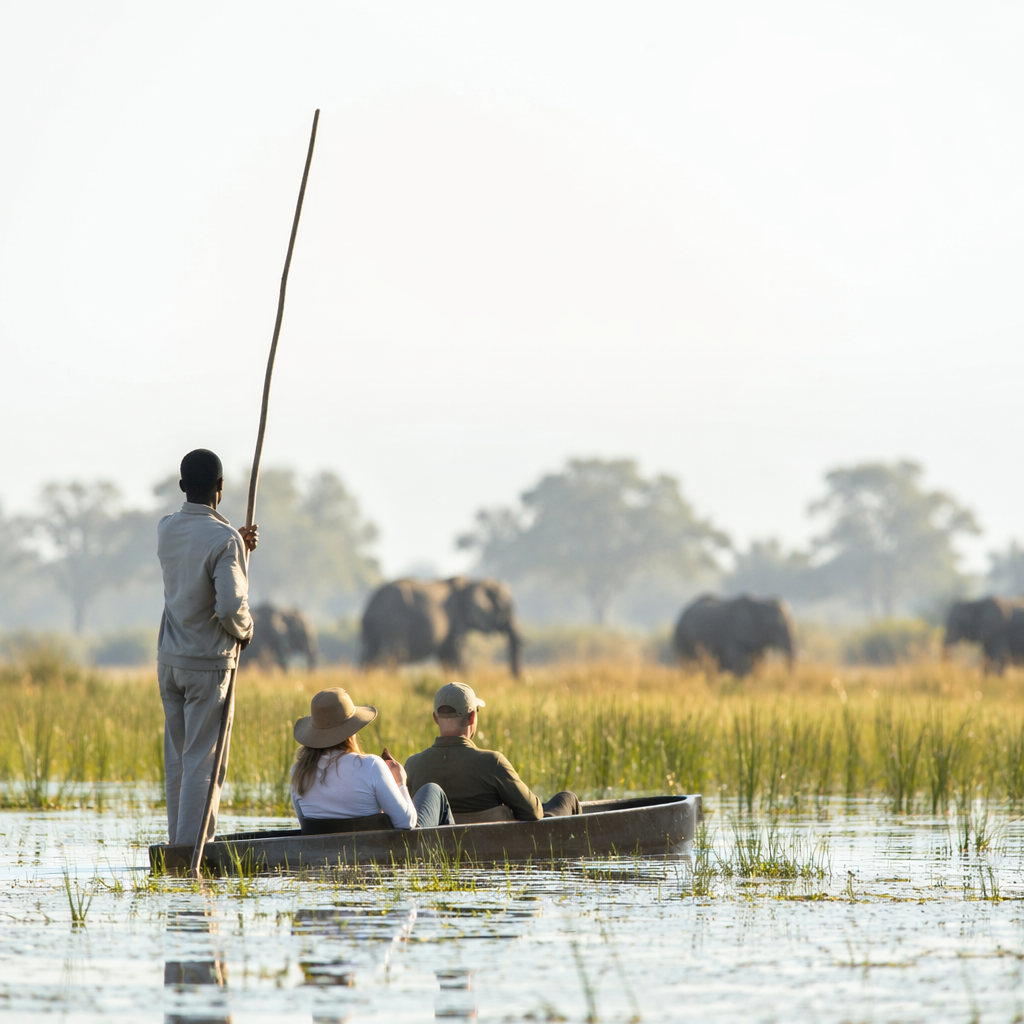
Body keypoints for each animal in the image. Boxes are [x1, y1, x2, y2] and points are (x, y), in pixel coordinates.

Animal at [361, 577, 523, 677]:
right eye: (505, 610)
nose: (517, 681)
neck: (472, 582)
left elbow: (446, 654)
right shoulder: (458, 616)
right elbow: (459, 649)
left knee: (370, 653)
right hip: (392, 624)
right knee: (391, 654)